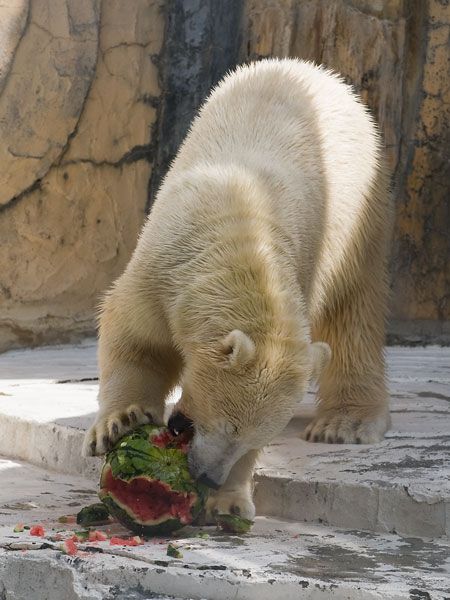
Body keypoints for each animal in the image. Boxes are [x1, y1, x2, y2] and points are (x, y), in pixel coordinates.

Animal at [82, 59, 392, 520]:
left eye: (252, 438)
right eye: (227, 424)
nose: (210, 476)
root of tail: (317, 71)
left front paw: (227, 502)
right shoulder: (162, 271)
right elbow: (135, 336)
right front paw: (120, 420)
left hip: (359, 212)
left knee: (353, 310)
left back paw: (345, 424)